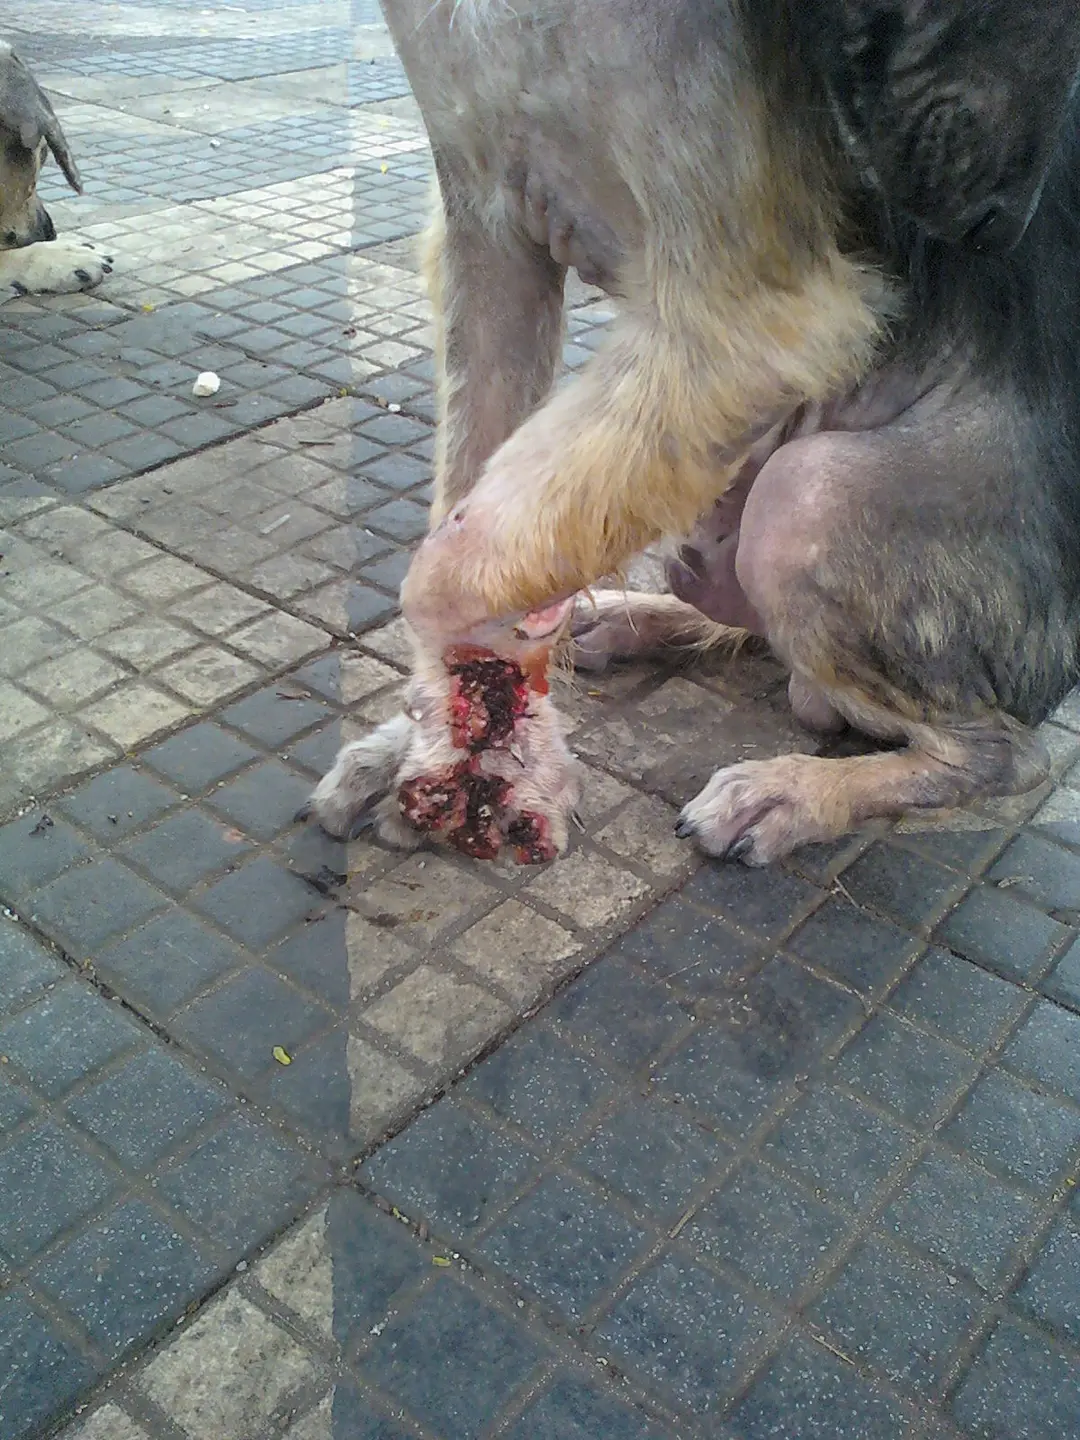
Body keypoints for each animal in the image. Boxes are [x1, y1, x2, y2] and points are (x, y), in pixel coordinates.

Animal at [308, 0, 1080, 866]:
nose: (997, 228)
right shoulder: (484, 230)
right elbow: (461, 505)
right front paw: (442, 741)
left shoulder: (749, 309)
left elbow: (440, 578)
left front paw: (513, 755)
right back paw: (623, 620)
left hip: (806, 501)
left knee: (1006, 751)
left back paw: (799, 790)